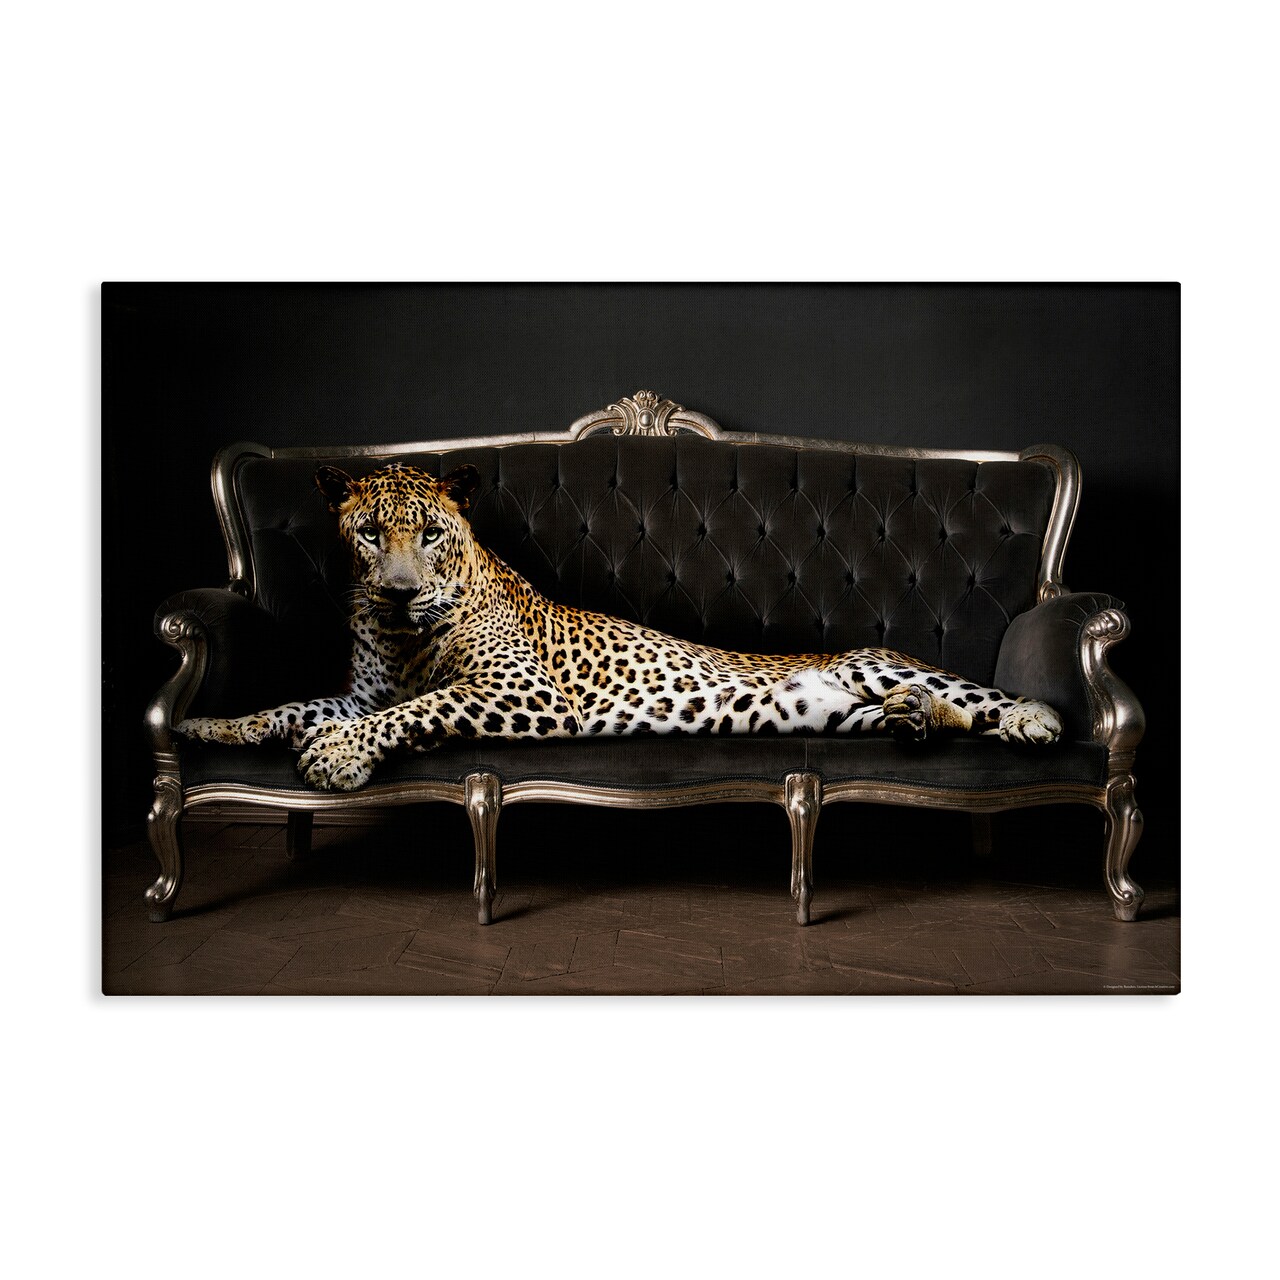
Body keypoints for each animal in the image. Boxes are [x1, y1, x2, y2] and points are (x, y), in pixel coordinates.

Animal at [178, 461, 1064, 791]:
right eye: (369, 534)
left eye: (429, 534)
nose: (397, 593)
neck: (403, 637)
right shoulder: (361, 693)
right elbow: (294, 705)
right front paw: (212, 727)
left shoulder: (523, 692)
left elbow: (421, 709)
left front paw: (335, 757)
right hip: (840, 713)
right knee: (922, 715)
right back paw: (916, 721)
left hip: (875, 664)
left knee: (974, 699)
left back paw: (1029, 718)